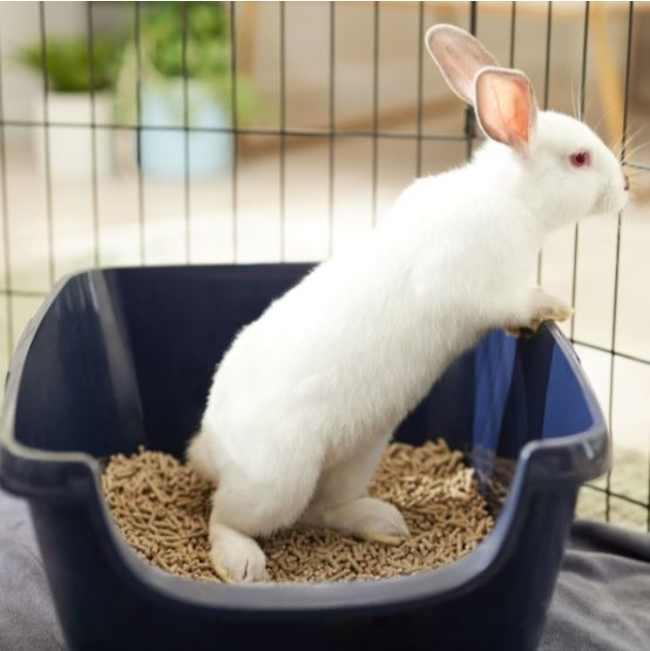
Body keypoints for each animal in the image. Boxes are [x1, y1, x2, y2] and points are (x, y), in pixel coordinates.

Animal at [186, 24, 629, 583]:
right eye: (580, 158)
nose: (625, 187)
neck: (508, 198)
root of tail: (211, 447)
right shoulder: (482, 289)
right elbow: (513, 303)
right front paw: (553, 305)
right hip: (278, 479)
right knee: (226, 516)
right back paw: (243, 564)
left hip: (356, 457)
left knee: (322, 508)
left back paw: (384, 525)